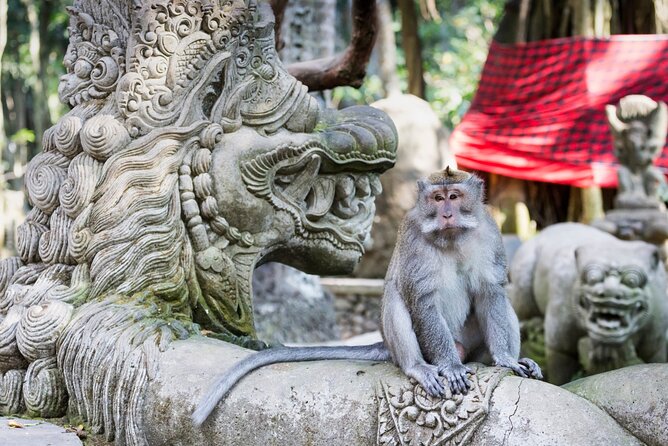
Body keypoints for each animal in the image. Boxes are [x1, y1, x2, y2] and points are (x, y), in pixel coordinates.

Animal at [191, 166, 542, 426]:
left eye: (454, 197)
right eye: (437, 198)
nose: (446, 214)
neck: (452, 237)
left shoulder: (489, 233)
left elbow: (490, 293)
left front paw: (506, 359)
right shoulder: (412, 235)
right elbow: (421, 300)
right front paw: (450, 367)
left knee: (502, 304)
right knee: (396, 300)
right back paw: (419, 366)